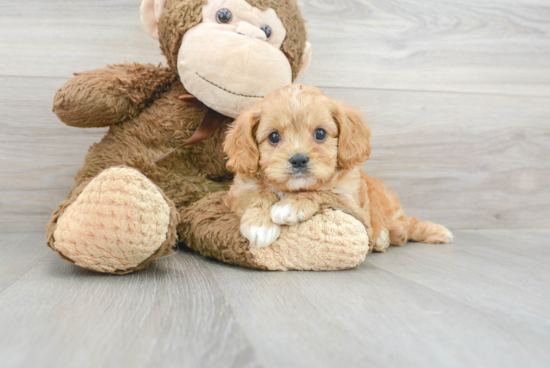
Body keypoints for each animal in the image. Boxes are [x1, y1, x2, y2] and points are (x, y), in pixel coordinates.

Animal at [223, 84, 452, 249]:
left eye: (320, 133)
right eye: (273, 137)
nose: (298, 160)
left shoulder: (350, 201)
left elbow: (322, 192)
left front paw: (290, 206)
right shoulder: (238, 193)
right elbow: (261, 193)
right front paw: (260, 225)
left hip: (391, 213)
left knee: (407, 226)